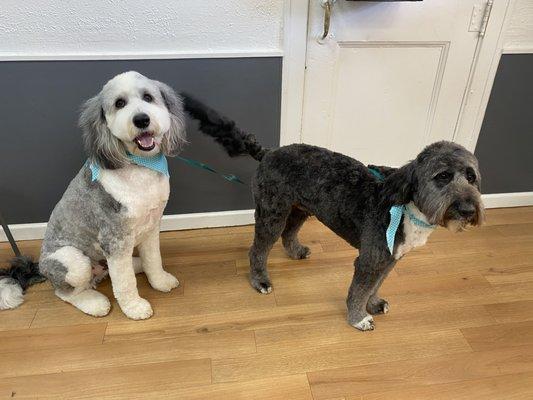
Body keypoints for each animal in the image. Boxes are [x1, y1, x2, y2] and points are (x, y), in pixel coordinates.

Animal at [0, 69, 184, 318]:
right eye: (119, 103)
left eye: (148, 97)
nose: (141, 119)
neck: (139, 166)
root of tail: (39, 267)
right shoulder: (114, 238)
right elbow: (124, 282)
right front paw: (134, 308)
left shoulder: (151, 225)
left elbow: (153, 259)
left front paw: (160, 281)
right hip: (73, 261)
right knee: (67, 292)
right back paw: (94, 303)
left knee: (115, 269)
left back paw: (135, 264)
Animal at [182, 94, 482, 332]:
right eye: (442, 176)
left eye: (471, 177)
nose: (468, 209)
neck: (405, 203)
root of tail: (268, 152)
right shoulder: (370, 259)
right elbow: (359, 290)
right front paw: (358, 318)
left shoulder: (389, 259)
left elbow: (375, 286)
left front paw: (374, 304)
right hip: (272, 213)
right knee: (257, 250)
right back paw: (260, 280)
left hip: (300, 209)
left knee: (289, 234)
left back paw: (296, 251)